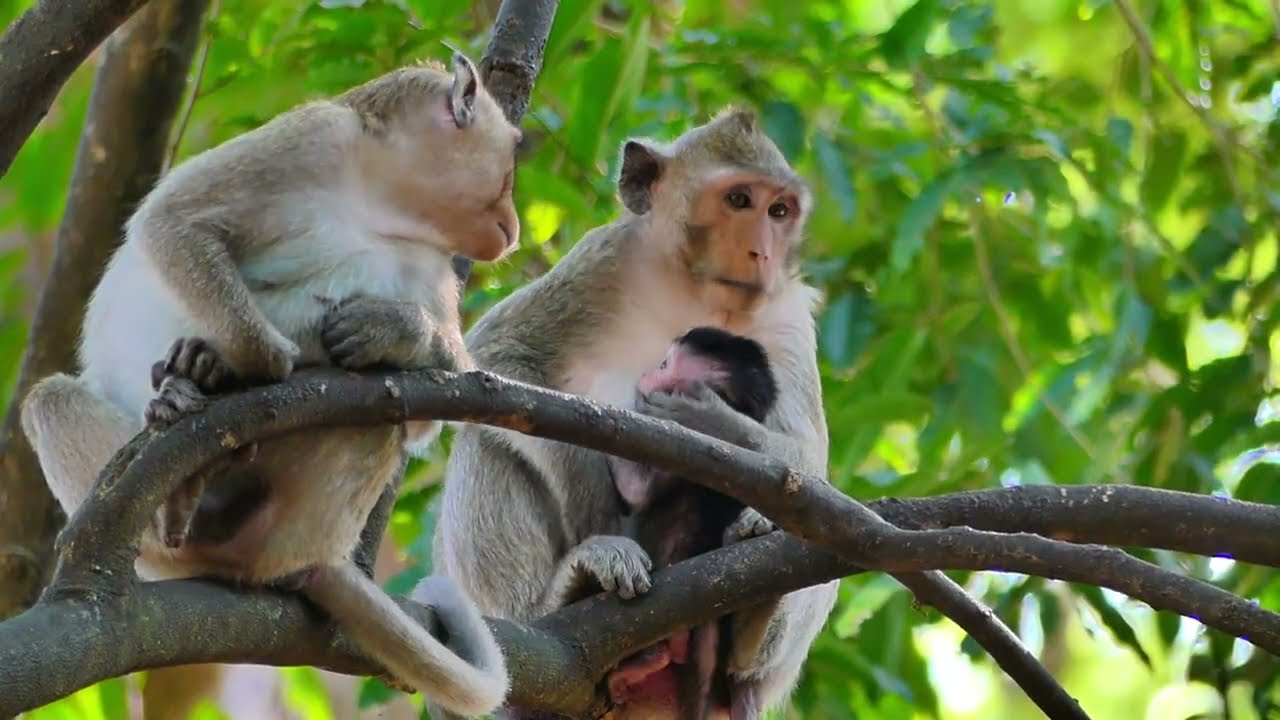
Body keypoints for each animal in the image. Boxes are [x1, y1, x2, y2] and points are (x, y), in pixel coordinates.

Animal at [21, 51, 520, 718]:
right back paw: (189, 463)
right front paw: (238, 365)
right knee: (50, 402)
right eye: (511, 161)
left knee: (377, 407)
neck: (379, 207)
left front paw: (391, 330)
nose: (514, 226)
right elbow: (173, 225)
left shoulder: (429, 264)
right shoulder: (309, 143)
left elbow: (431, 410)